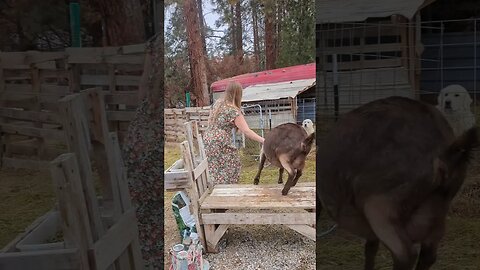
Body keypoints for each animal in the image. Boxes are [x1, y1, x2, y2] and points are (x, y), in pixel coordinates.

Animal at [316, 97, 478, 270]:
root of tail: (444, 154)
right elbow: (370, 247)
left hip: (380, 207)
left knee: (406, 254)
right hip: (437, 211)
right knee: (428, 254)